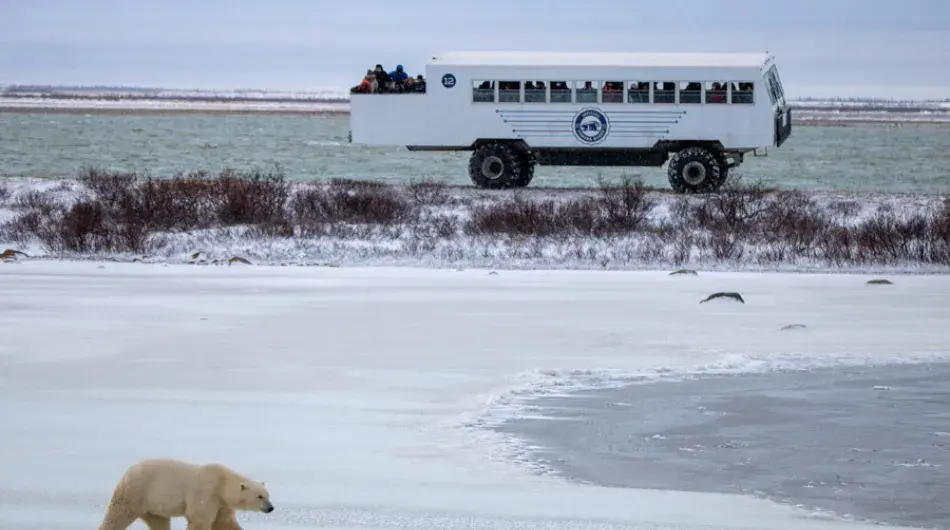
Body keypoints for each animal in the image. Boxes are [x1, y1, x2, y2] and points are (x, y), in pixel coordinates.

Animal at [96, 458, 274, 530]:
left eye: (268, 495)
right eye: (260, 496)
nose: (271, 508)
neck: (222, 482)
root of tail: (129, 470)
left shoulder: (220, 503)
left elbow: (224, 522)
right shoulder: (207, 492)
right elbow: (199, 519)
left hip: (153, 506)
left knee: (159, 522)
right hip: (135, 492)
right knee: (117, 516)